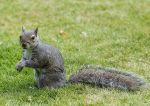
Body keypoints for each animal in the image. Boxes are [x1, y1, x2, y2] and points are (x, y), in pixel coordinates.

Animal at [15, 26, 149, 90]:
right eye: (20, 36)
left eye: (33, 37)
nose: (23, 44)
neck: (30, 50)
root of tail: (64, 83)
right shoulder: (24, 54)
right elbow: (23, 59)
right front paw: (19, 65)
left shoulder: (42, 56)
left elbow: (35, 63)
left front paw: (23, 64)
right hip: (37, 76)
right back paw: (33, 87)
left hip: (46, 77)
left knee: (48, 87)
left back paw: (42, 90)